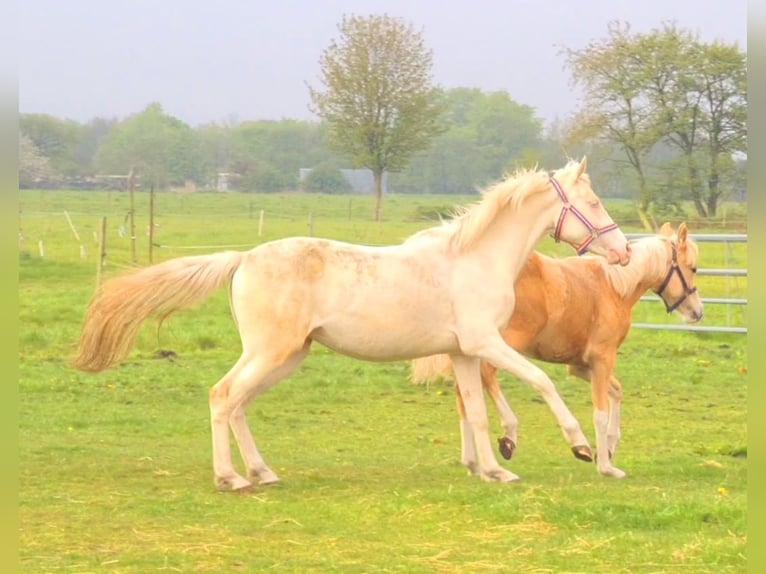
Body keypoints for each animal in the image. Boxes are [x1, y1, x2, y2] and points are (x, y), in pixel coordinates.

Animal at [73, 160, 636, 492]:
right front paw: (581, 447)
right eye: (592, 203)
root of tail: (242, 259)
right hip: (271, 352)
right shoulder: (486, 343)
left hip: (286, 356)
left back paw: (262, 472)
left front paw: (496, 468)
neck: (474, 259)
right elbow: (541, 383)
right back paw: (231, 478)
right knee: (222, 396)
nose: (624, 253)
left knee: (238, 404)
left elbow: (476, 412)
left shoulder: (464, 352)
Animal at [412, 225, 704, 482]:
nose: (697, 312)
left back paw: (476, 464)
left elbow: (616, 392)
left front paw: (609, 448)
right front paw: (605, 466)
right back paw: (508, 438)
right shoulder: (602, 359)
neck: (615, 288)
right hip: (498, 345)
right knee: (486, 377)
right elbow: (600, 413)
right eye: (692, 268)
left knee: (465, 393)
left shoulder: (581, 366)